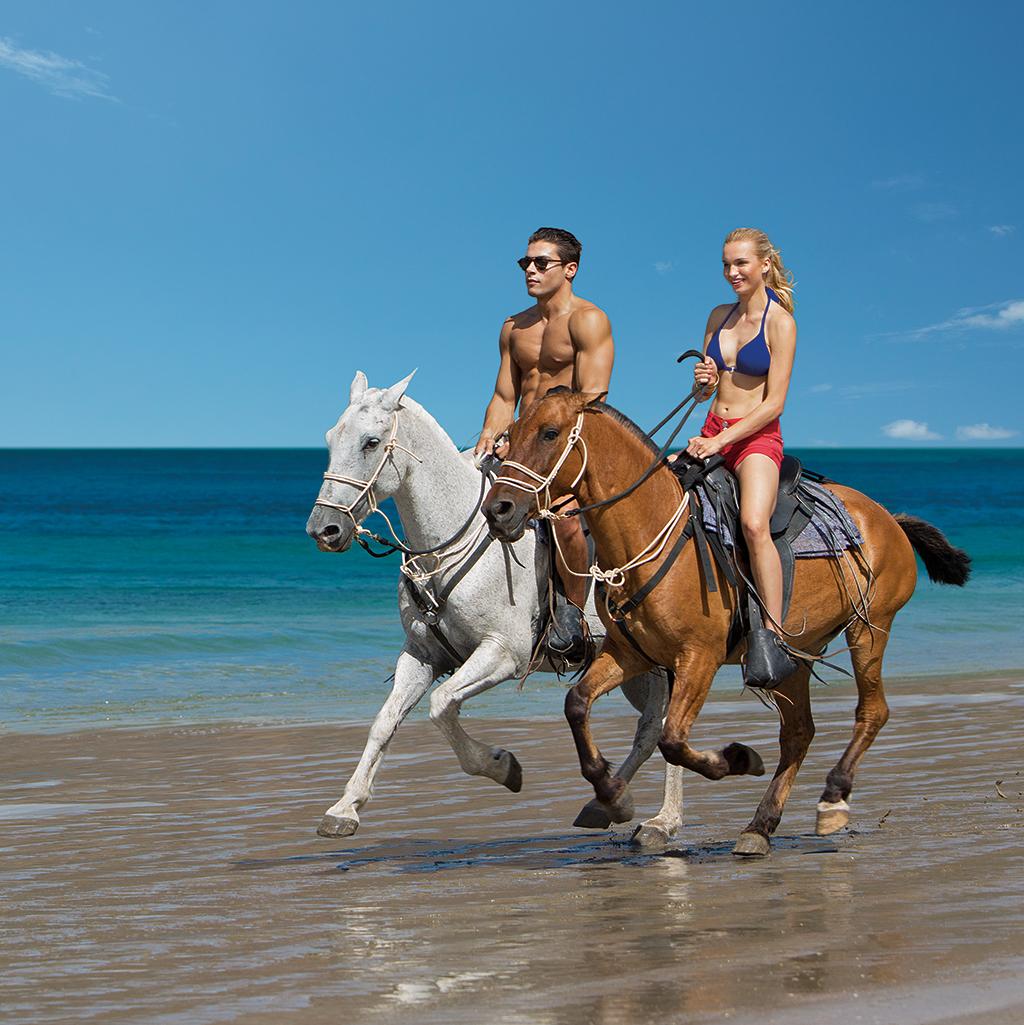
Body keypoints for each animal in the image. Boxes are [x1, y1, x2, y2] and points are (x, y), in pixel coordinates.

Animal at [307, 373, 684, 844]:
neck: (448, 545)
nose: (323, 529)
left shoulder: (502, 653)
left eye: (371, 442)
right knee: (651, 729)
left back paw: (662, 820)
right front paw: (345, 808)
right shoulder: (421, 656)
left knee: (665, 726)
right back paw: (610, 802)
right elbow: (385, 720)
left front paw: (502, 766)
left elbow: (442, 705)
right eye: (330, 438)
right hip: (635, 668)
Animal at [481, 391, 967, 856]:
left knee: (871, 711)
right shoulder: (630, 653)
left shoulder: (699, 657)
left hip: (870, 628)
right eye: (509, 435)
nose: (498, 510)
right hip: (792, 655)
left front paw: (738, 759)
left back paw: (832, 799)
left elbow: (673, 739)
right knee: (798, 733)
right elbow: (577, 704)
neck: (651, 532)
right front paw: (612, 796)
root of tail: (886, 517)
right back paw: (760, 827)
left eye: (549, 433)